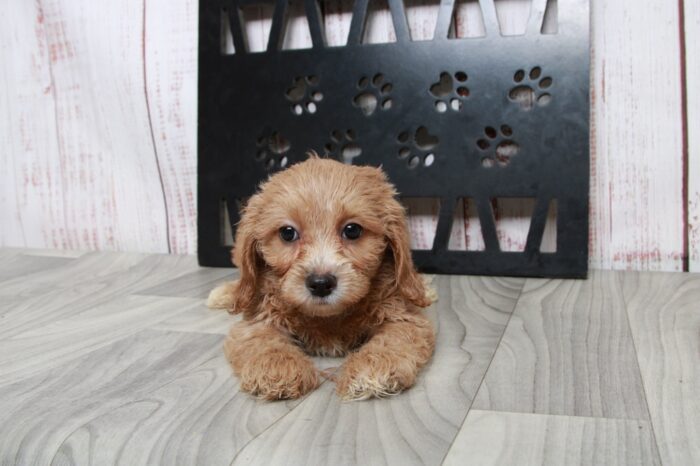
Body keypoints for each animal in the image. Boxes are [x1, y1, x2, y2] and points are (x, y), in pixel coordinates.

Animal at [208, 156, 434, 400]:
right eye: (287, 233)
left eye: (352, 230)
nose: (321, 284)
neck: (328, 318)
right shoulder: (259, 316)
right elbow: (262, 340)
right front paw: (278, 367)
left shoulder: (402, 315)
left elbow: (396, 338)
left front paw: (370, 369)